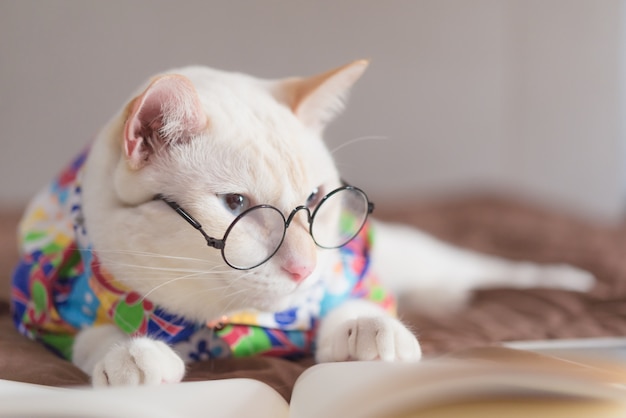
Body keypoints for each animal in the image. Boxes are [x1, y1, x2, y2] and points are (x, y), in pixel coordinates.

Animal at [12, 58, 592, 386]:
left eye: (314, 199)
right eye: (236, 204)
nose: (303, 268)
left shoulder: (342, 278)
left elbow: (350, 306)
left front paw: (372, 331)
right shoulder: (52, 311)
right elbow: (97, 334)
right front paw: (132, 354)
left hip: (428, 258)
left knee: (492, 270)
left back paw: (571, 280)